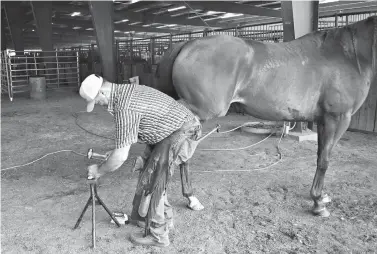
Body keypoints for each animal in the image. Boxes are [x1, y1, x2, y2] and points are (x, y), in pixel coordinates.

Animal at [151, 15, 376, 217]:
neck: (347, 56)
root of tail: (188, 43)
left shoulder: (323, 121)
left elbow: (320, 155)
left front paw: (320, 196)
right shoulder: (337, 118)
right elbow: (324, 161)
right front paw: (318, 203)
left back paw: (182, 197)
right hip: (197, 111)